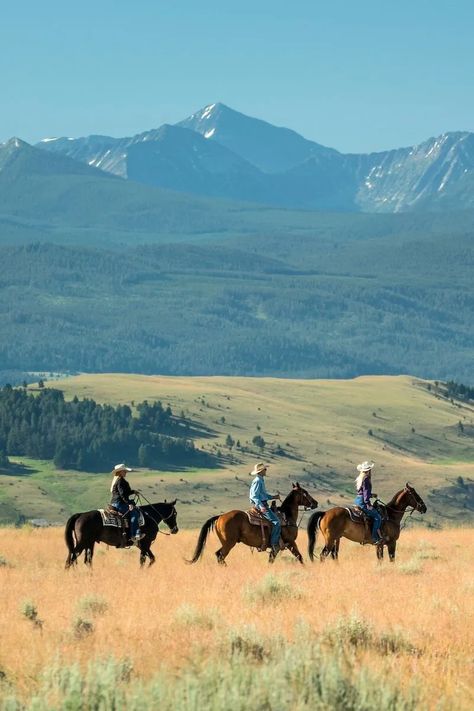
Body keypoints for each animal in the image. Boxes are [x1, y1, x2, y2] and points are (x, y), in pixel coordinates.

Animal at [187, 484, 316, 568]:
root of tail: (220, 517)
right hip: (229, 543)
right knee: (220, 555)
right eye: (305, 492)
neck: (287, 516)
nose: (315, 503)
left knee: (219, 555)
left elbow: (272, 560)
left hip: (226, 542)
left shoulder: (279, 547)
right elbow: (300, 557)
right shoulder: (290, 542)